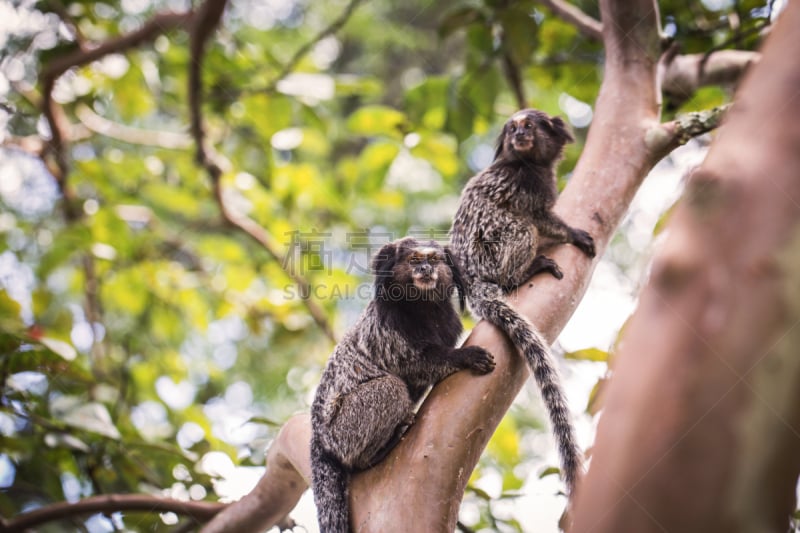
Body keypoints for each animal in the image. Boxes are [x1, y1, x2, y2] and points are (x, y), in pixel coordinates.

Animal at [310, 238, 494, 532]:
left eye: (434, 259)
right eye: (414, 260)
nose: (426, 269)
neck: (422, 308)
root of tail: (318, 436)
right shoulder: (388, 329)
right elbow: (412, 365)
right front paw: (465, 357)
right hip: (343, 430)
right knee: (391, 388)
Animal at [450, 109, 592, 494]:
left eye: (529, 126)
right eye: (513, 128)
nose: (519, 135)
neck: (530, 163)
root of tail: (473, 281)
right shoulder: (526, 188)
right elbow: (541, 218)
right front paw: (572, 233)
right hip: (495, 254)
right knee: (520, 227)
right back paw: (527, 269)